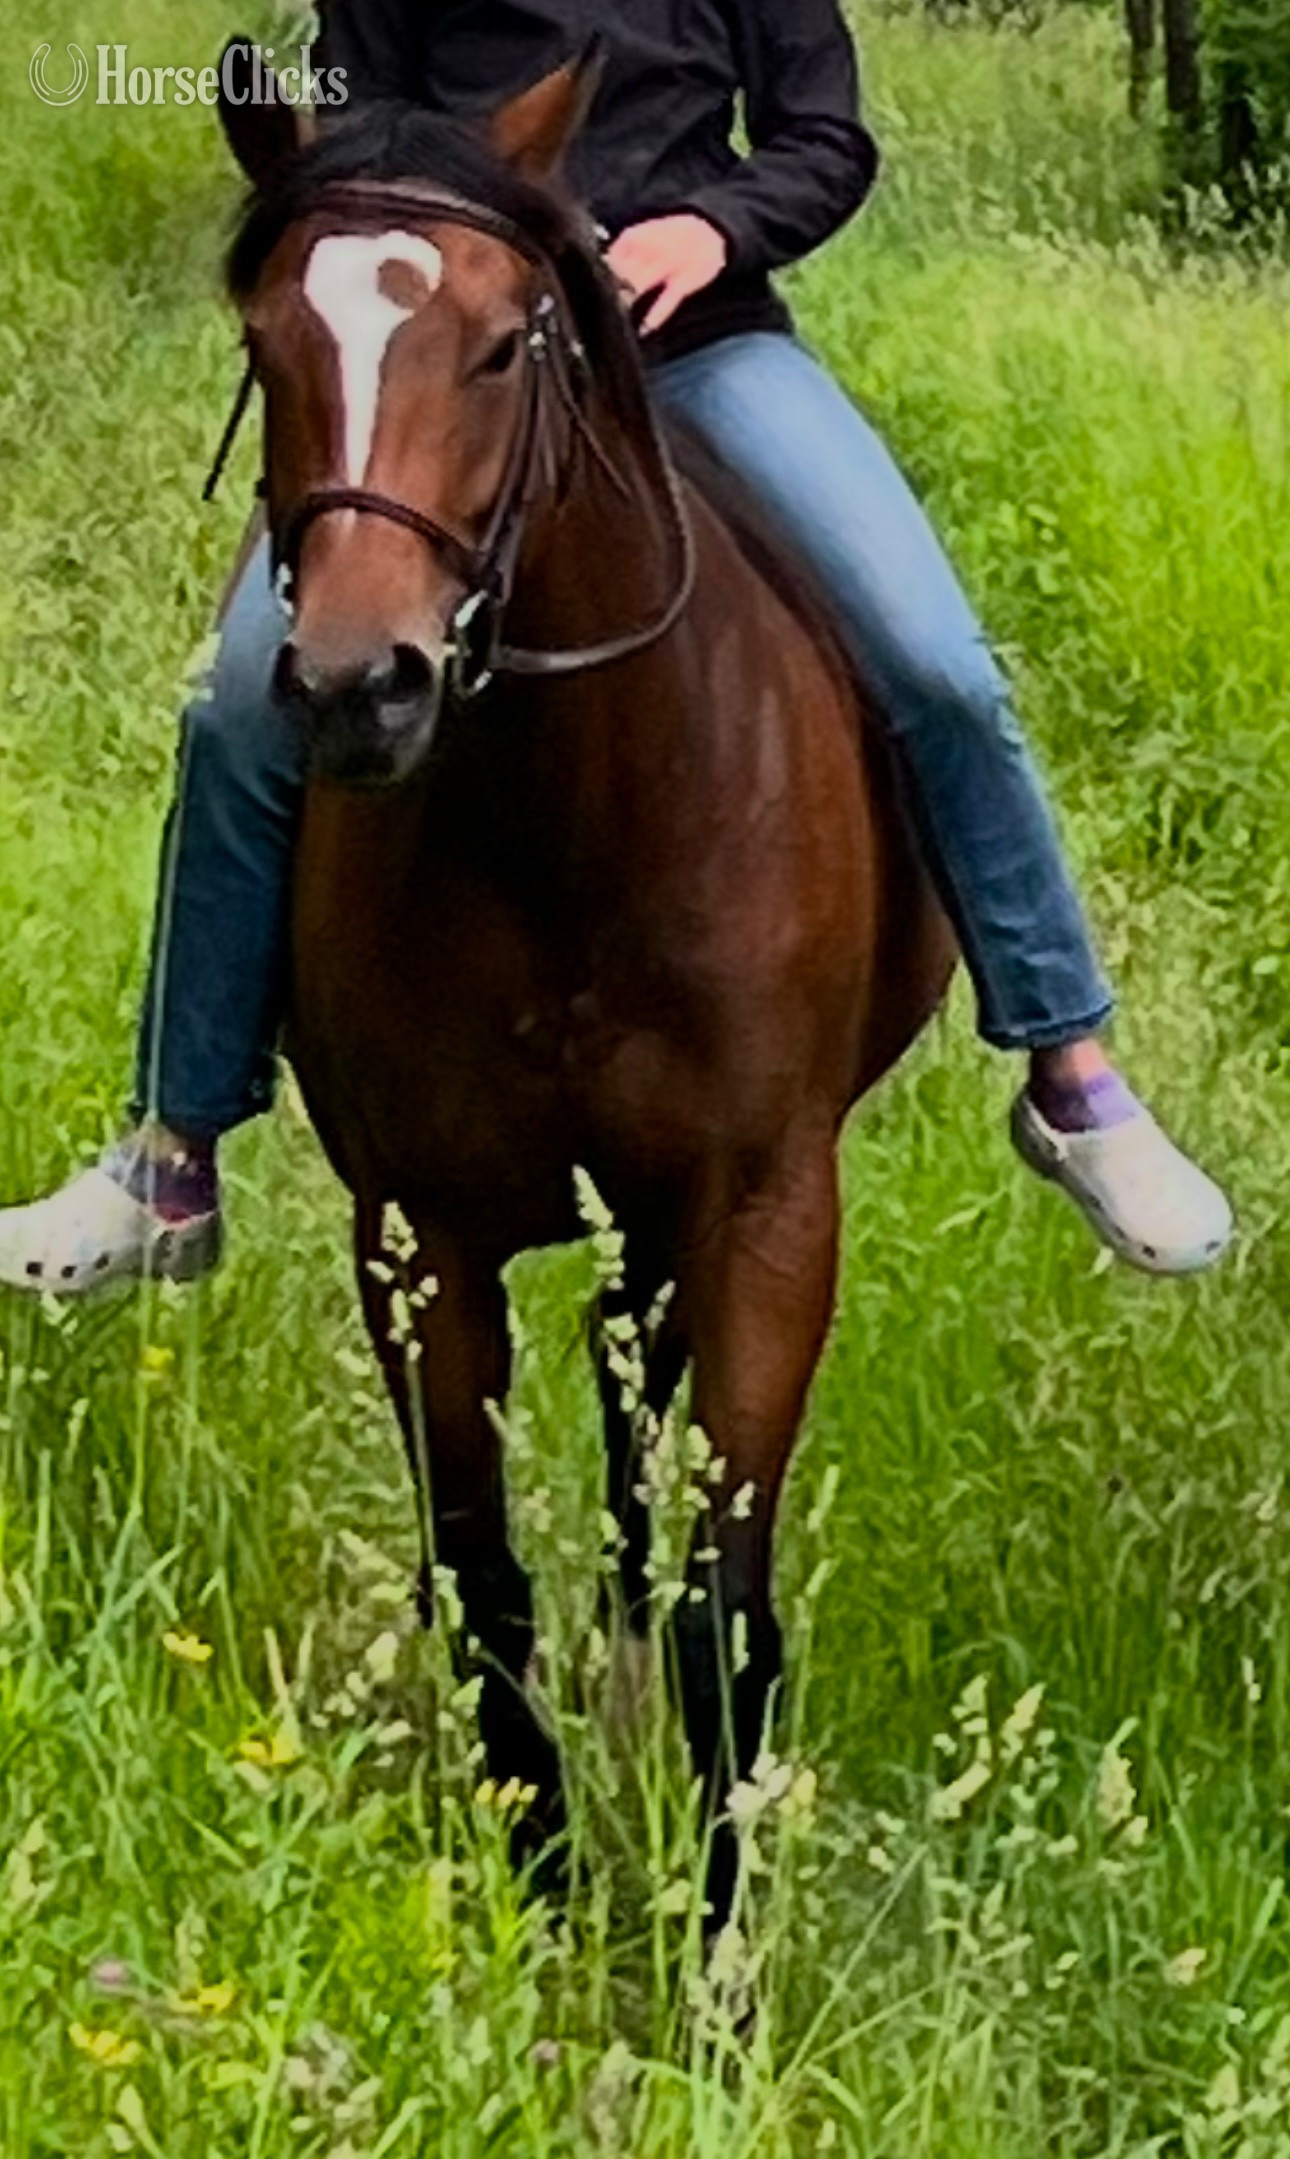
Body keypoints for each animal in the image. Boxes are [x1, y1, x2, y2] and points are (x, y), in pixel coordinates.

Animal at [217, 53, 955, 1912]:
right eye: (269, 341)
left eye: (501, 345)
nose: (360, 688)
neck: (569, 819)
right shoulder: (418, 1236)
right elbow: (484, 1583)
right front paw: (540, 1896)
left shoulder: (763, 1210)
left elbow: (725, 1612)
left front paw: (717, 1948)